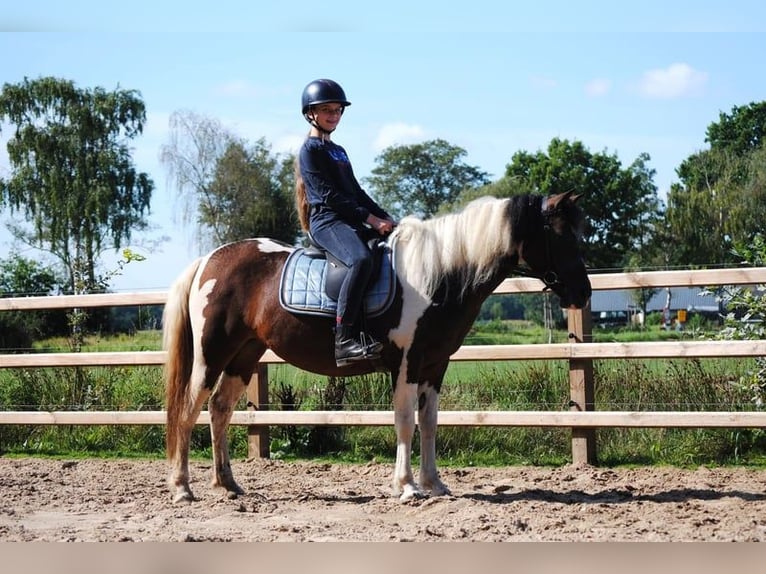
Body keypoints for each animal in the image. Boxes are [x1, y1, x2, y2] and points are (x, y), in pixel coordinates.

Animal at [163, 191, 592, 503]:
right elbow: (404, 420)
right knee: (188, 409)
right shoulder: (407, 363)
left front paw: (435, 483)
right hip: (211, 355)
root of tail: (209, 260)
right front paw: (407, 486)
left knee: (220, 410)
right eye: (561, 235)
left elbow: (430, 422)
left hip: (244, 355)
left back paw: (228, 484)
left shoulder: (435, 366)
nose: (584, 294)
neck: (439, 274)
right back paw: (182, 488)